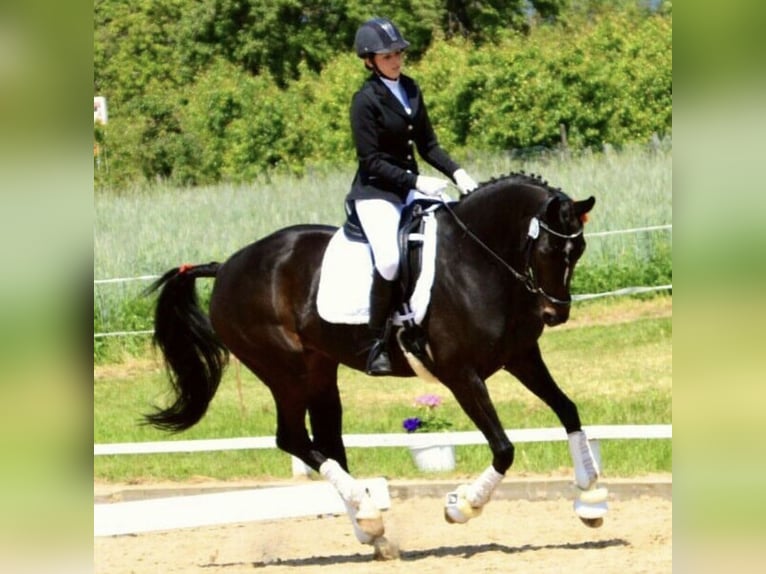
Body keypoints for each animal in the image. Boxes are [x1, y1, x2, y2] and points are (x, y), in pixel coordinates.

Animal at [146, 173, 608, 556]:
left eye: (580, 249)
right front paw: (460, 506)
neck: (476, 261)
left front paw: (589, 498)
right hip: (285, 371)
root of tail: (226, 267)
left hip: (319, 368)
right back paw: (368, 516)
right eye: (549, 248)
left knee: (327, 442)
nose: (555, 313)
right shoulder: (460, 374)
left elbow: (568, 410)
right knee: (292, 438)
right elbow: (504, 447)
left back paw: (371, 529)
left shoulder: (521, 357)